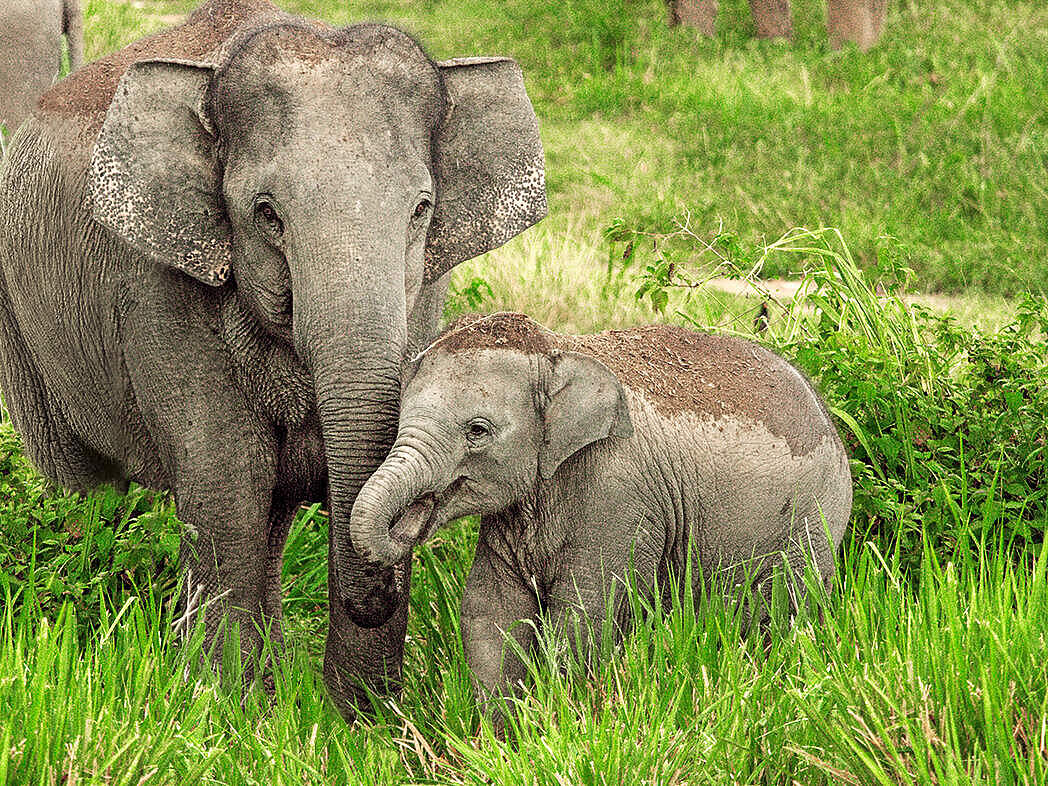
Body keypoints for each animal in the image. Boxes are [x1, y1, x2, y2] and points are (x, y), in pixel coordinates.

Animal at [352, 312, 850, 712]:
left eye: (478, 430)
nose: (407, 523)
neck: (558, 351)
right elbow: (490, 609)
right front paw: (501, 737)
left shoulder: (619, 496)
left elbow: (585, 613)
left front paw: (555, 719)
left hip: (814, 519)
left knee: (782, 608)